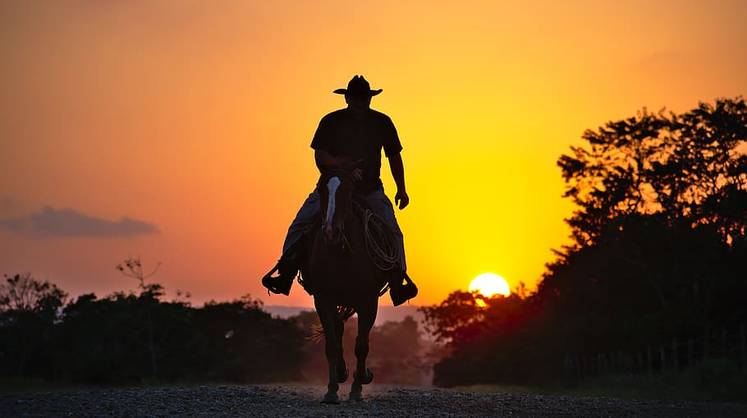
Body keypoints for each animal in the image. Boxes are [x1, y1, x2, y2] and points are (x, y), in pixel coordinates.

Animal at [300, 169, 388, 402]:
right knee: (338, 331)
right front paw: (331, 391)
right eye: (321, 190)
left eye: (348, 190)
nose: (330, 231)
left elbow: (361, 346)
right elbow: (331, 344)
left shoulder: (368, 301)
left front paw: (358, 387)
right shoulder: (323, 299)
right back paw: (341, 373)